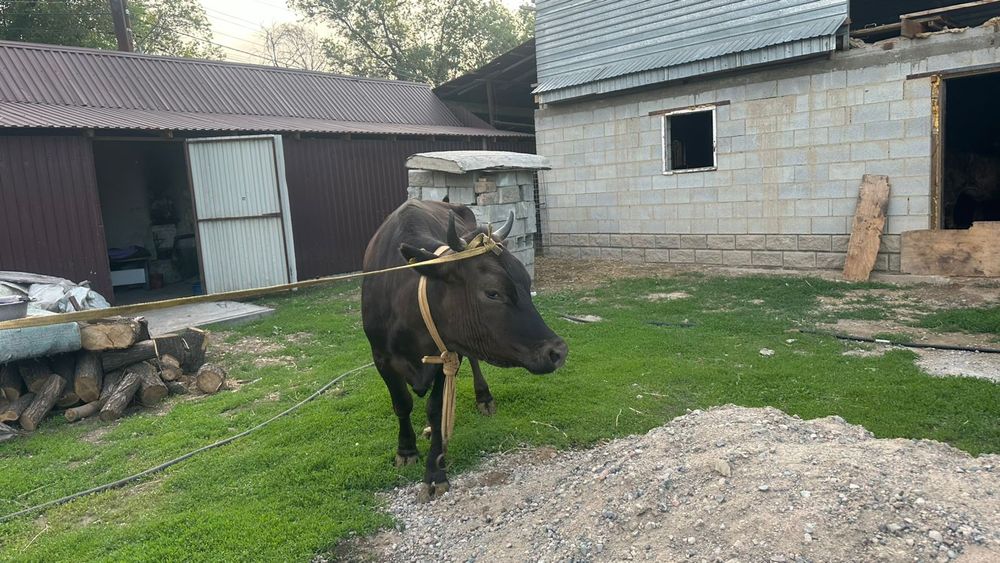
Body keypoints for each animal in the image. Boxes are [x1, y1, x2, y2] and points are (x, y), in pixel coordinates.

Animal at [361, 199, 568, 501]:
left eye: (527, 283)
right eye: (492, 292)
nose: (558, 351)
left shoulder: (447, 354)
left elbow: (436, 410)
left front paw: (435, 473)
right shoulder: (381, 358)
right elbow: (402, 404)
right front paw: (406, 450)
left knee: (474, 360)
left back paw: (484, 397)